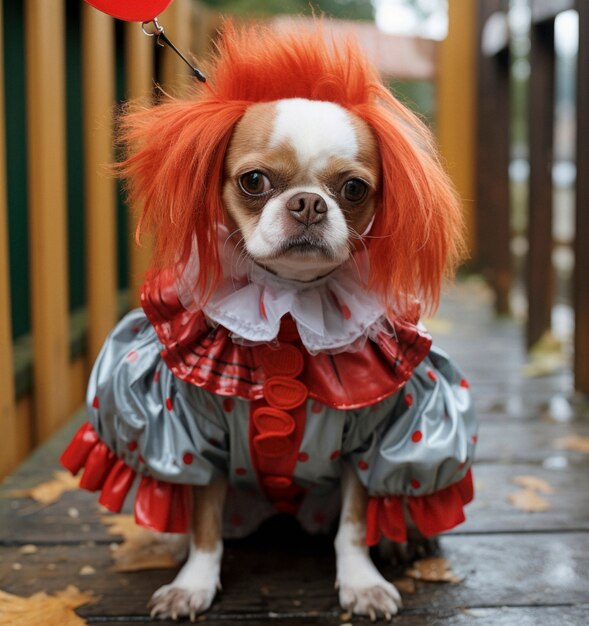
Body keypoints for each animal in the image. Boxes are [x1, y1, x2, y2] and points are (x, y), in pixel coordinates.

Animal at [59, 19, 476, 620]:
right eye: (254, 181)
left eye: (354, 189)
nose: (308, 203)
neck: (290, 308)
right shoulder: (192, 434)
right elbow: (205, 524)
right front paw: (194, 583)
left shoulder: (370, 439)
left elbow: (355, 524)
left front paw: (361, 583)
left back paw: (405, 541)